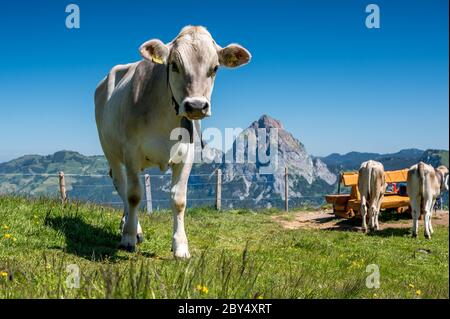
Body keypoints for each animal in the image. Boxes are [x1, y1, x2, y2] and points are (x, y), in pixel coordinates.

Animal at [94, 25, 251, 260]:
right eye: (174, 65)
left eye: (214, 68)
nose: (196, 106)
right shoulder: (131, 151)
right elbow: (134, 195)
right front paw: (128, 238)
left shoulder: (187, 155)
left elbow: (179, 200)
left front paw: (180, 247)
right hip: (110, 149)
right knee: (121, 185)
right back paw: (132, 228)